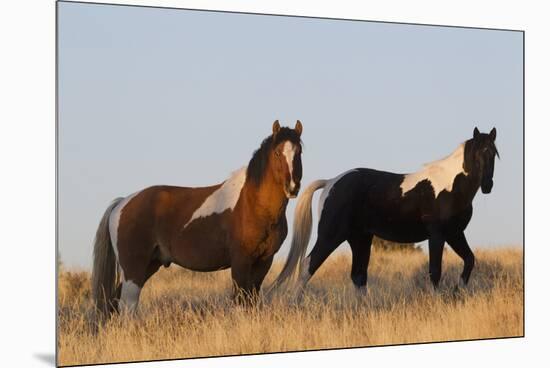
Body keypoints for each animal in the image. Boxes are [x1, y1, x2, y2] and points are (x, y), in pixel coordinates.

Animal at [92, 119, 304, 314]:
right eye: (277, 153)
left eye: (299, 152)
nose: (293, 187)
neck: (253, 204)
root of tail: (122, 203)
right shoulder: (240, 261)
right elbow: (240, 302)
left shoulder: (263, 261)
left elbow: (251, 301)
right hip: (133, 268)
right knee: (127, 305)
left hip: (149, 265)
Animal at [276, 127, 500, 294]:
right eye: (477, 154)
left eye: (494, 154)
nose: (487, 186)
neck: (449, 185)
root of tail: (331, 182)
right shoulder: (437, 235)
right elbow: (435, 272)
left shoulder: (455, 233)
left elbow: (469, 260)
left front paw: (457, 291)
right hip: (331, 236)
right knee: (307, 266)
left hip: (360, 239)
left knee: (358, 276)